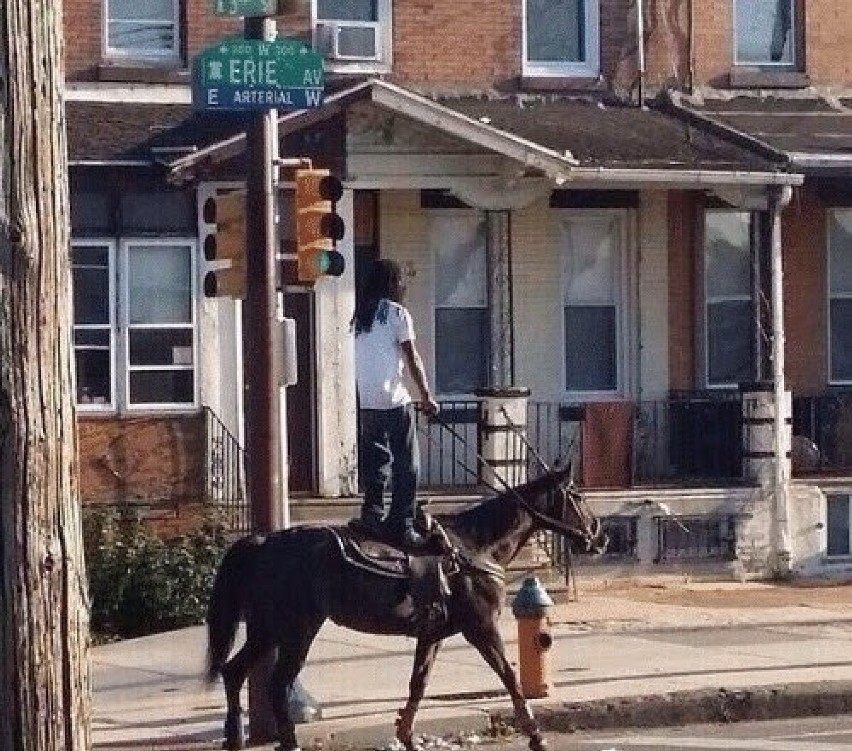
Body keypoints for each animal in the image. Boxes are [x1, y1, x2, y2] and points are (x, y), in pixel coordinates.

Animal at [206, 464, 604, 751]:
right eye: (578, 496)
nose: (599, 537)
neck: (475, 545)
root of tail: (262, 541)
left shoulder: (433, 634)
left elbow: (418, 684)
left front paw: (406, 736)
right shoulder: (481, 628)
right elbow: (509, 676)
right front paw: (536, 736)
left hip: (266, 629)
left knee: (234, 672)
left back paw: (233, 739)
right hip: (296, 630)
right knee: (277, 684)